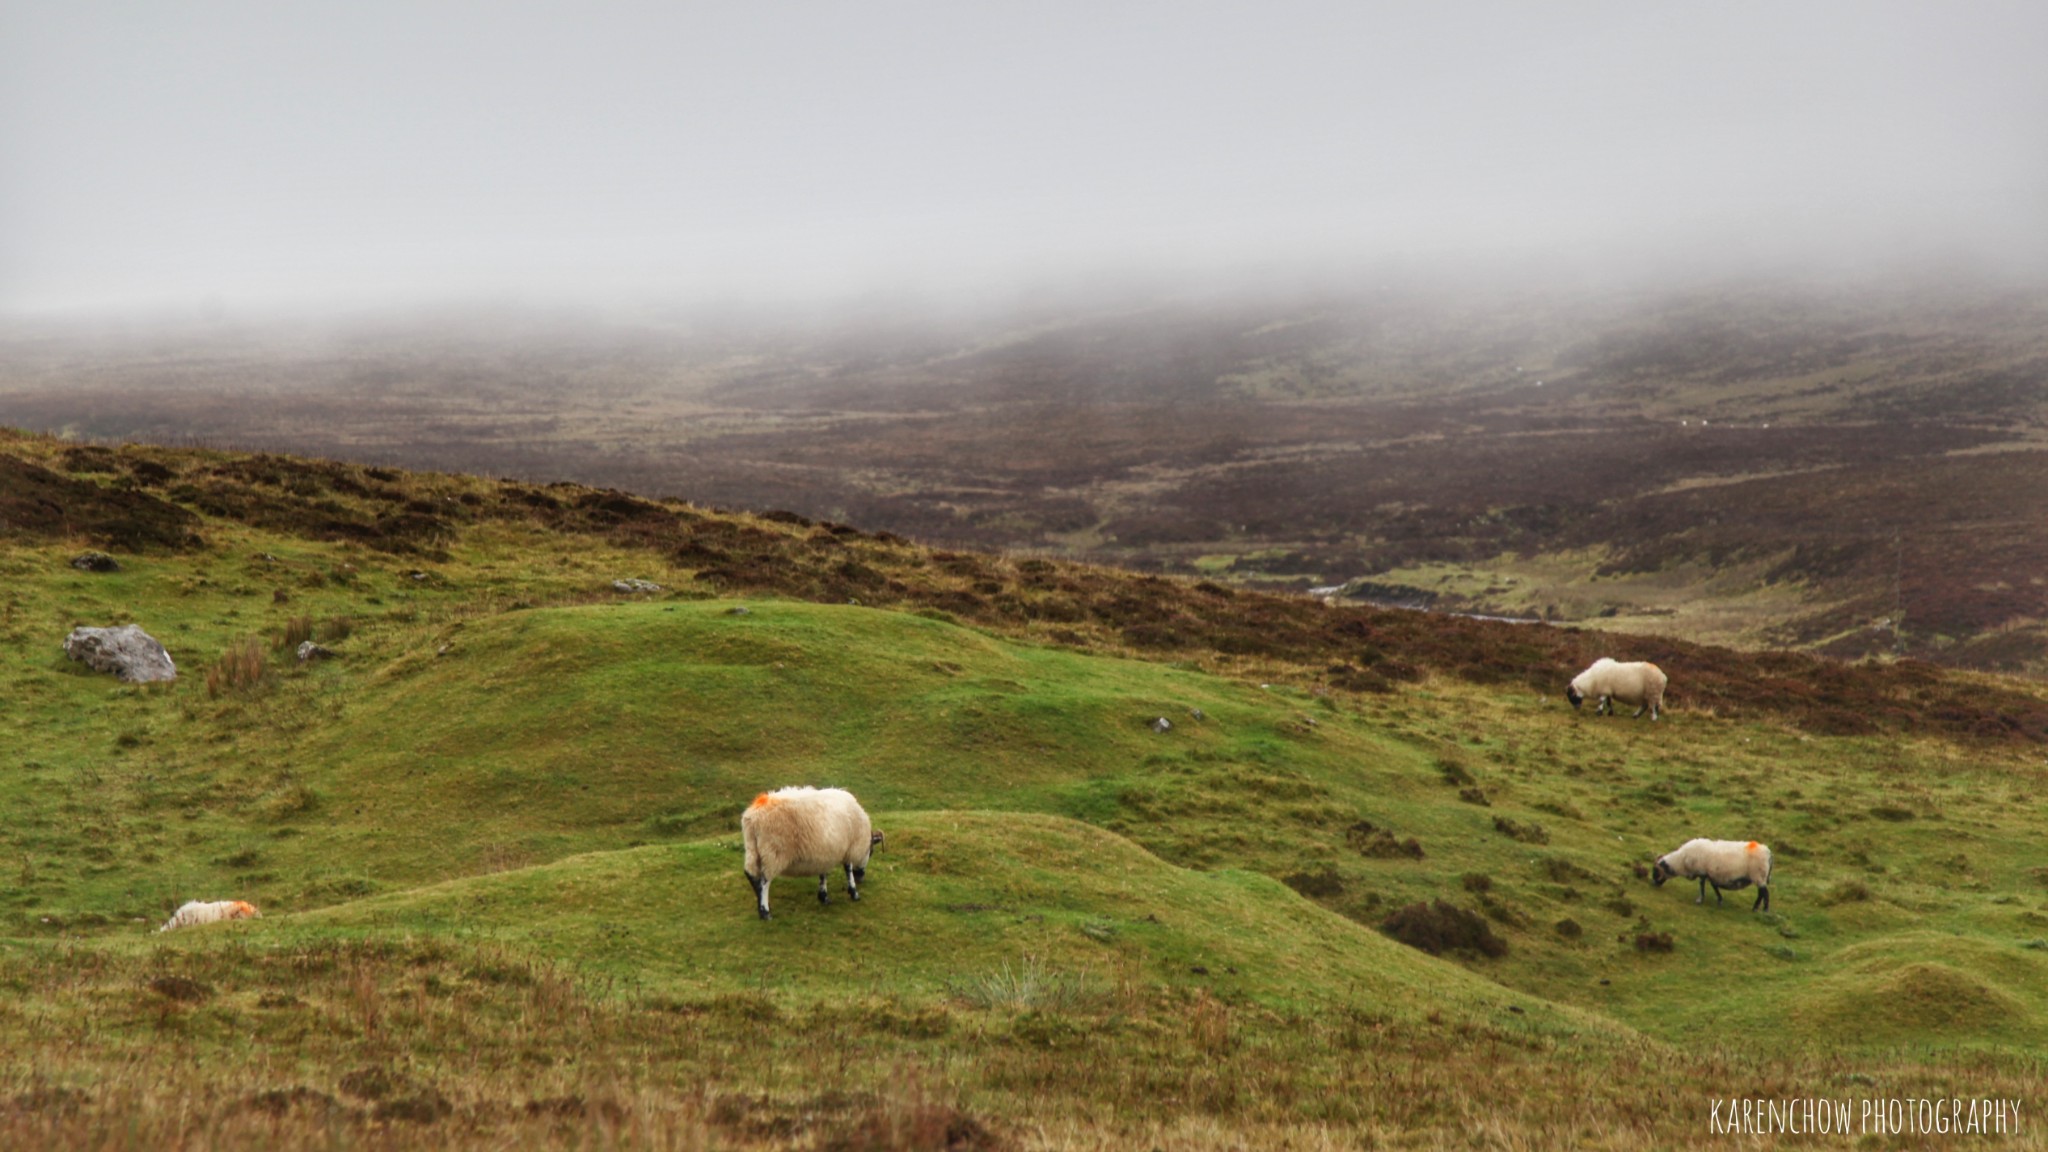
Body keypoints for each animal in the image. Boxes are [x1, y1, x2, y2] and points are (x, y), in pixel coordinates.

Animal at [745, 778, 888, 914]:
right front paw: (854, 892)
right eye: (871, 852)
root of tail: (754, 816)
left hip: (753, 847)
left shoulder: (825, 851)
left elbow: (823, 875)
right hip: (773, 852)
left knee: (751, 875)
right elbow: (848, 869)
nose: (860, 879)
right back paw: (765, 911)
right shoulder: (848, 848)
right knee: (765, 881)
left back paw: (759, 900)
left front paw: (823, 897)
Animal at [1646, 832, 1777, 906]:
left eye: (1655, 870)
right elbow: (1714, 886)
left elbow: (1702, 886)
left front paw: (1699, 900)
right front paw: (1719, 900)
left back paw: (1760, 910)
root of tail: (1768, 852)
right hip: (1760, 877)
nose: (1653, 883)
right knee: (1762, 893)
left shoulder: (1702, 872)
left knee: (1764, 894)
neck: (1682, 860)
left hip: (1759, 875)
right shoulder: (1711, 874)